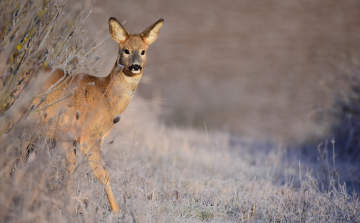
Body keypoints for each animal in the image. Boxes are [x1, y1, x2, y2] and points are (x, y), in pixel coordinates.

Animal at [29, 17, 165, 213]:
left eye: (143, 51)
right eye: (126, 50)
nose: (135, 66)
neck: (106, 96)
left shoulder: (65, 136)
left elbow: (70, 167)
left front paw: (66, 203)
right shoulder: (89, 136)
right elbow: (103, 173)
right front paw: (116, 210)